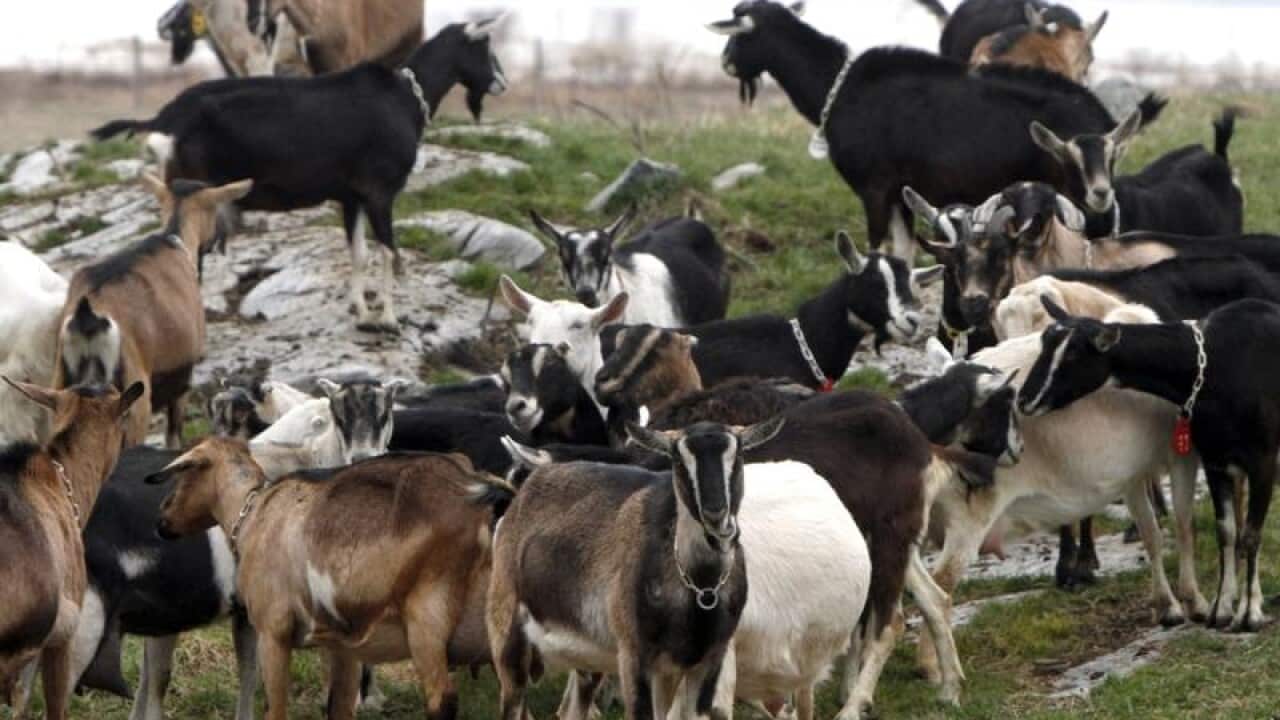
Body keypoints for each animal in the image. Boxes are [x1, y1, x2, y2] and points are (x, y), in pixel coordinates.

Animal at [55, 176, 252, 449]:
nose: (223, 236)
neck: (174, 239)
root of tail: (88, 318)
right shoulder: (182, 378)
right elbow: (174, 436)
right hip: (135, 404)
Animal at [90, 19, 508, 333]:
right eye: (484, 46)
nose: (502, 83)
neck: (404, 97)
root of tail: (164, 119)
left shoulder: (352, 196)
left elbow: (359, 254)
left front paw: (361, 311)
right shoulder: (380, 192)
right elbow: (389, 252)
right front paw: (388, 319)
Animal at [150, 439, 510, 720]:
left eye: (183, 473)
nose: (162, 519)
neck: (253, 511)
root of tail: (490, 501)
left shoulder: (272, 632)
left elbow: (275, 710)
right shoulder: (343, 647)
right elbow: (338, 707)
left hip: (428, 616)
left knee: (441, 700)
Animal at [487, 418, 783, 720]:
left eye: (739, 454)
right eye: (677, 459)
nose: (716, 516)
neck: (699, 589)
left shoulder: (705, 661)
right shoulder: (635, 656)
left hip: (588, 657)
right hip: (506, 635)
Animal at [708, 1, 1147, 259]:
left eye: (740, 34)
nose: (726, 62)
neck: (840, 86)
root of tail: (1102, 119)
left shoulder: (873, 187)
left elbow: (874, 248)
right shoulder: (901, 189)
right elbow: (902, 251)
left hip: (1083, 191)